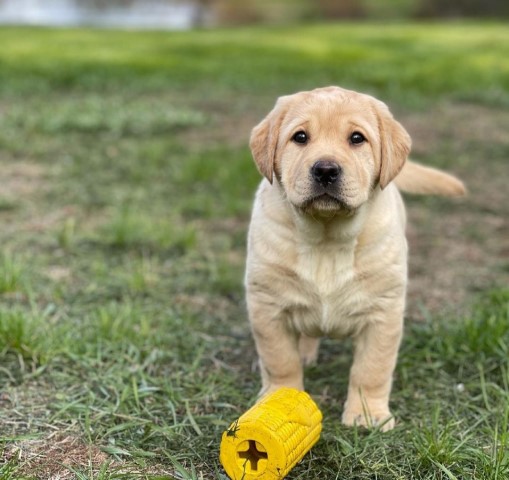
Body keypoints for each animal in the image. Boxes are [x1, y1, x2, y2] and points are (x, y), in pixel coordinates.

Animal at [244, 86, 462, 432]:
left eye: (357, 138)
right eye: (300, 137)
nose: (325, 170)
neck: (326, 238)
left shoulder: (383, 313)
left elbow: (371, 369)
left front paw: (366, 416)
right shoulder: (267, 306)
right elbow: (280, 362)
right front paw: (279, 402)